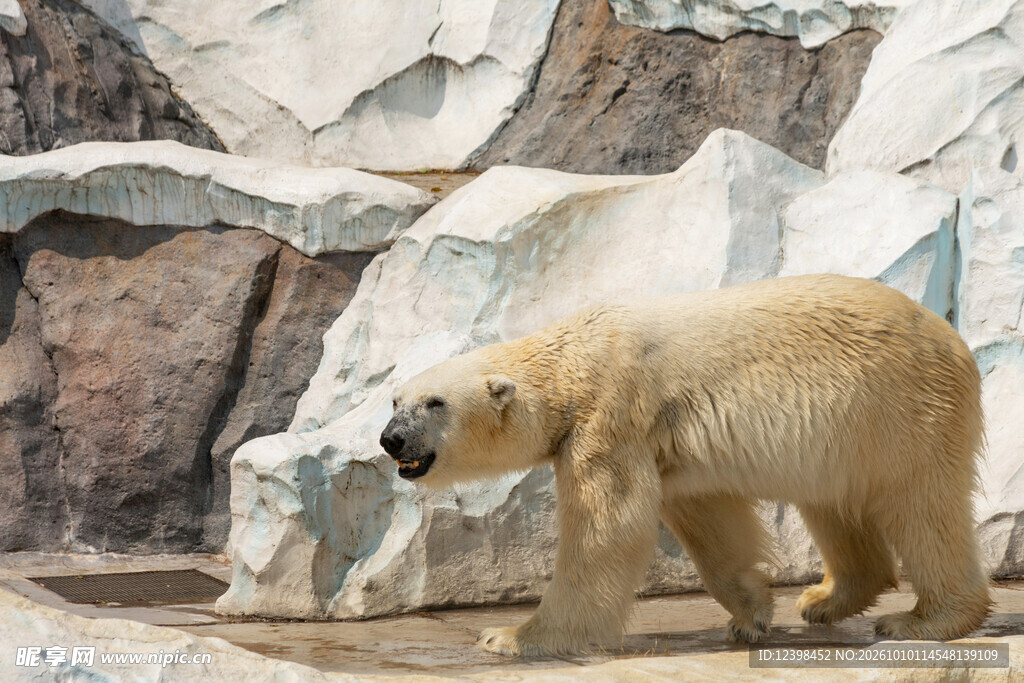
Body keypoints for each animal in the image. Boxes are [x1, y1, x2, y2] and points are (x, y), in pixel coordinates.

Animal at [379, 274, 991, 657]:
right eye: (394, 399)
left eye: (435, 402)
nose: (391, 439)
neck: (572, 360)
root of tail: (954, 338)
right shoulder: (664, 442)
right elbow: (705, 517)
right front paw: (751, 613)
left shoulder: (610, 415)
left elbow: (608, 527)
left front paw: (511, 637)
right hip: (845, 430)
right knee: (832, 500)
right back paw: (825, 598)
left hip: (900, 405)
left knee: (922, 504)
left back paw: (924, 619)